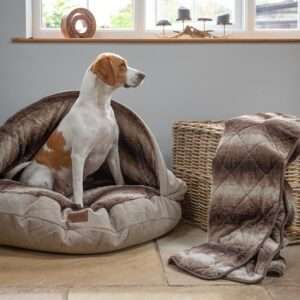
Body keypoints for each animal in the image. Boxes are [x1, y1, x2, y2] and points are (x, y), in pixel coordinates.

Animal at [4, 53, 145, 209]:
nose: (143, 75)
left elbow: (119, 178)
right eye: (121, 66)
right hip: (44, 177)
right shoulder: (78, 156)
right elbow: (79, 188)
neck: (99, 109)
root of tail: (28, 167)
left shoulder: (113, 151)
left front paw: (121, 189)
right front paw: (79, 207)